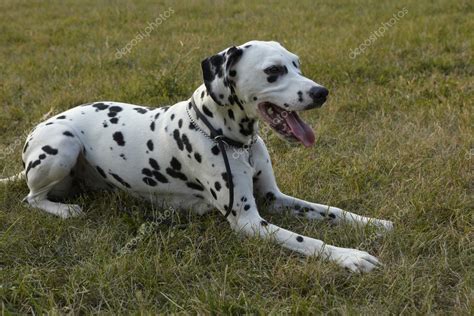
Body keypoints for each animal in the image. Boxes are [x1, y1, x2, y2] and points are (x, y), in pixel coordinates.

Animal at [1, 40, 392, 272]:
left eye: (297, 64)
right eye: (273, 71)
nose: (321, 92)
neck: (226, 136)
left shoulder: (274, 198)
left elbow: (331, 211)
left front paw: (371, 222)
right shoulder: (248, 221)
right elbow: (306, 240)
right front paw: (349, 256)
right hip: (62, 145)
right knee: (30, 198)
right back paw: (63, 210)